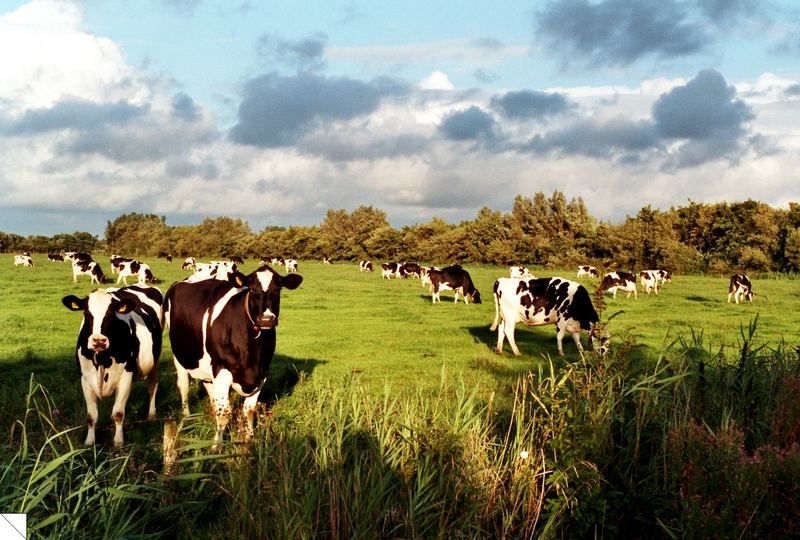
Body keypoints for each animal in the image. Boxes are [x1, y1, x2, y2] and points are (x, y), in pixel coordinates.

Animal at [63, 284, 164, 446]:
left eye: (111, 314)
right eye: (87, 313)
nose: (98, 340)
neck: (101, 359)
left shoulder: (126, 376)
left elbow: (118, 412)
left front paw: (118, 440)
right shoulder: (85, 378)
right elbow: (91, 415)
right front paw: (89, 441)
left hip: (155, 360)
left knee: (152, 387)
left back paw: (151, 413)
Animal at [162, 266, 304, 452]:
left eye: (278, 289)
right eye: (252, 289)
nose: (266, 319)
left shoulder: (262, 373)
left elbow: (249, 410)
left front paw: (250, 439)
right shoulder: (222, 370)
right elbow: (224, 414)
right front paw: (216, 447)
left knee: (211, 393)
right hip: (181, 356)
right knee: (184, 386)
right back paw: (187, 417)